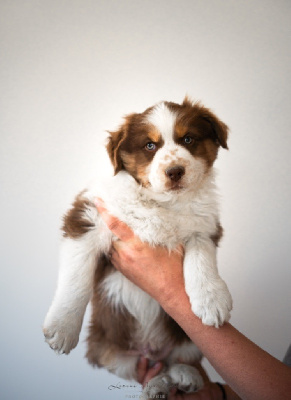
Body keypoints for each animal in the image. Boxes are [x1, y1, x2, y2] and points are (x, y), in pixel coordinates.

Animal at [43, 97, 234, 400]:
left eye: (188, 139)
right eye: (149, 146)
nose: (175, 171)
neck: (162, 202)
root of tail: (151, 349)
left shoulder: (205, 226)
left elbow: (201, 258)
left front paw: (212, 300)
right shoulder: (88, 217)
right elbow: (76, 279)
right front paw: (62, 329)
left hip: (187, 340)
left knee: (176, 362)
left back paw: (184, 375)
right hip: (109, 352)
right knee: (145, 371)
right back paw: (157, 388)